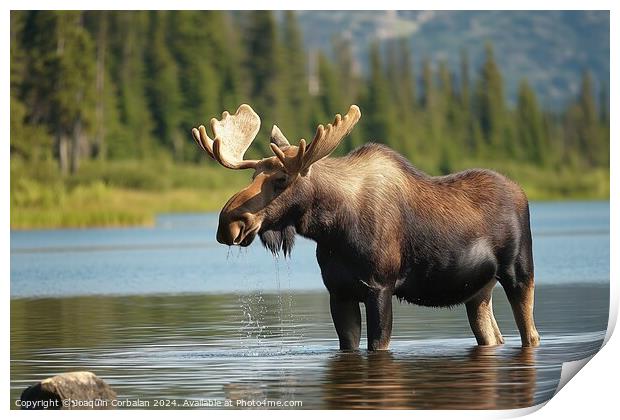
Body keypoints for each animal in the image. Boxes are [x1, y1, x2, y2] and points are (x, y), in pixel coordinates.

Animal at [191, 105, 540, 352]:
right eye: (252, 177)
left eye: (281, 179)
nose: (228, 224)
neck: (332, 229)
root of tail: (523, 192)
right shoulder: (339, 292)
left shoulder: (379, 286)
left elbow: (378, 345)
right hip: (478, 291)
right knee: (493, 336)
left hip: (519, 272)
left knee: (531, 334)